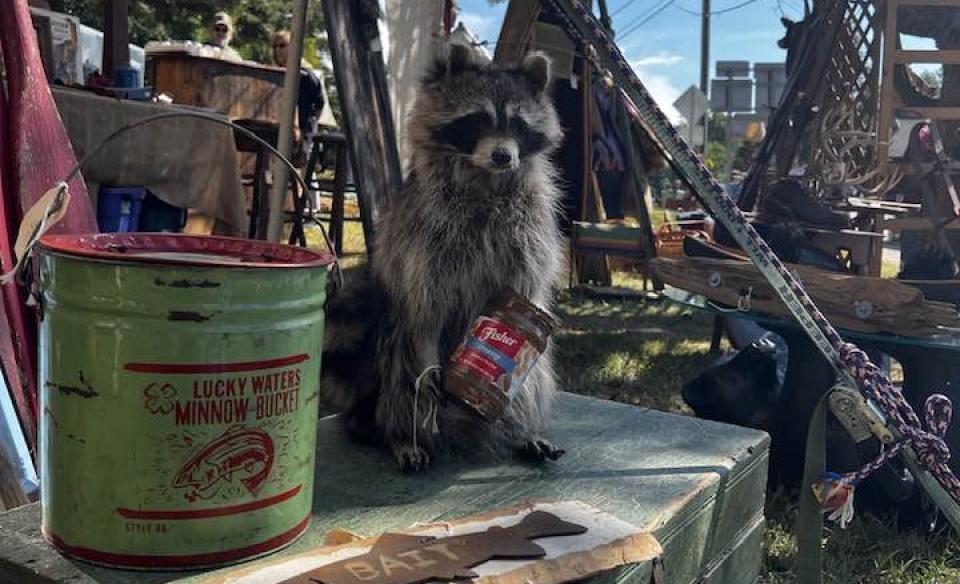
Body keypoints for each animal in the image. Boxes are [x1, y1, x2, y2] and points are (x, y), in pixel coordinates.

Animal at [318, 44, 568, 474]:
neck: (485, 179)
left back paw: (520, 428)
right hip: (389, 336)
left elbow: (525, 293)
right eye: (478, 120)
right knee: (402, 372)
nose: (503, 156)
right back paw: (402, 435)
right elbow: (426, 308)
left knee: (535, 378)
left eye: (517, 125)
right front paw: (428, 349)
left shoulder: (531, 232)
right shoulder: (423, 238)